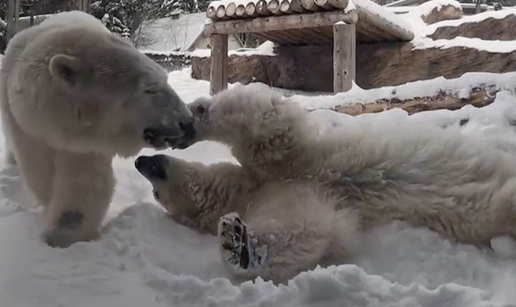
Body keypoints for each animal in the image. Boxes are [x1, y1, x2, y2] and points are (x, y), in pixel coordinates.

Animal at [0, 10, 196, 249]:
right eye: (150, 88)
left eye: (165, 79)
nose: (187, 122)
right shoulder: (25, 125)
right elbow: (38, 166)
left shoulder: (90, 141)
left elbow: (83, 182)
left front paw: (65, 234)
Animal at [135, 83, 516, 284]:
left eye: (156, 191)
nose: (142, 163)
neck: (251, 189)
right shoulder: (294, 195)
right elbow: (306, 229)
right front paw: (238, 243)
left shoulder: (291, 163)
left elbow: (269, 128)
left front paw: (191, 123)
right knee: (496, 208)